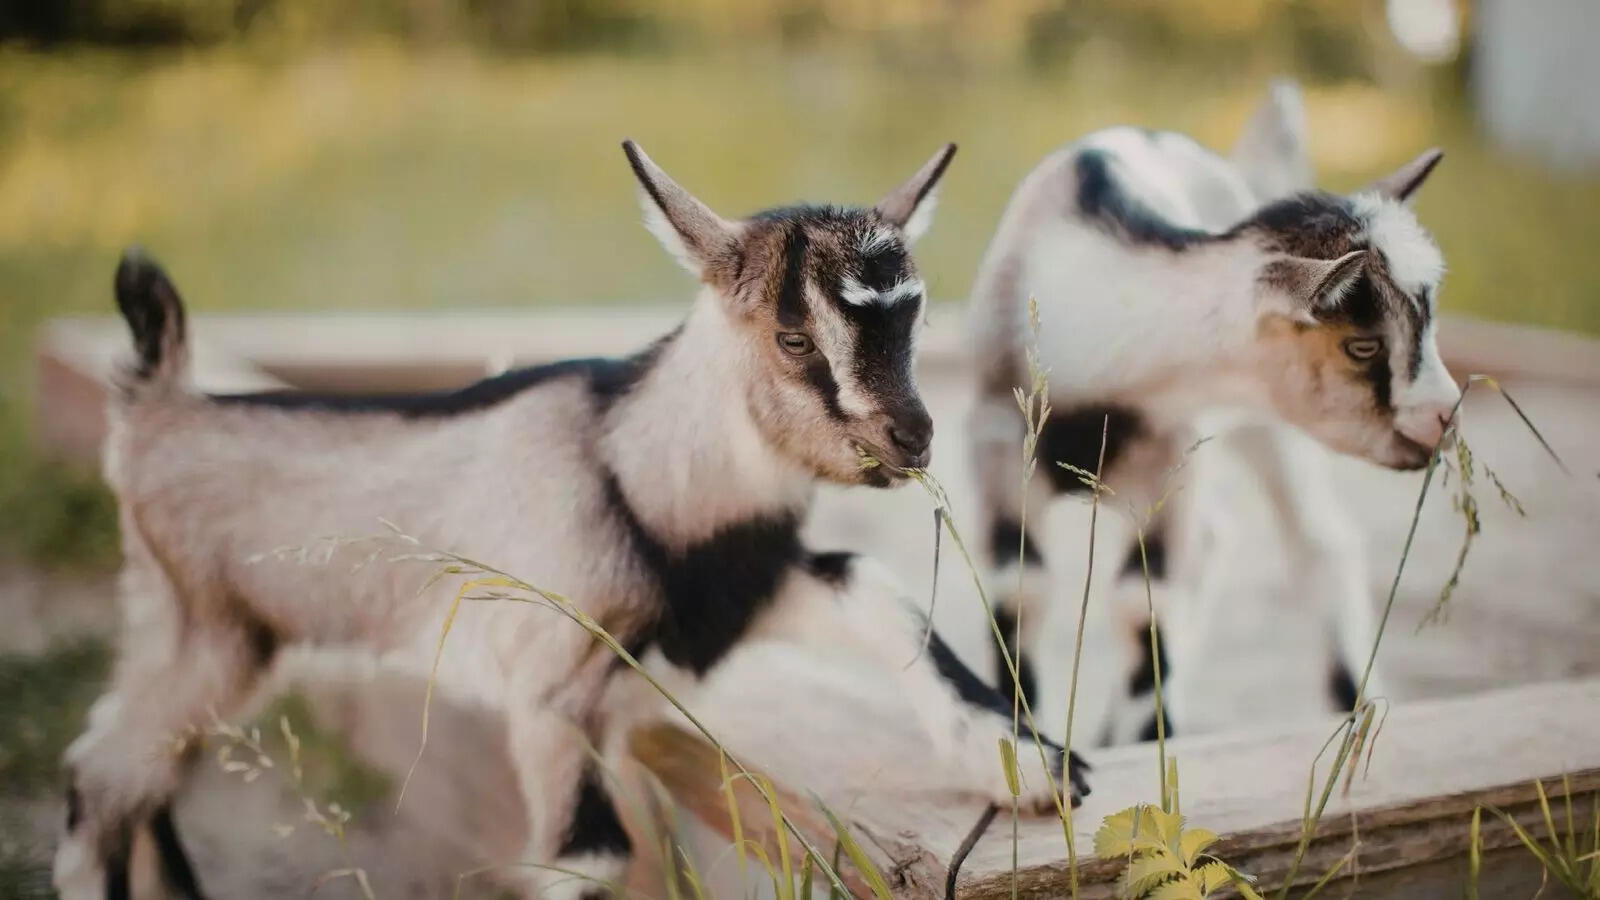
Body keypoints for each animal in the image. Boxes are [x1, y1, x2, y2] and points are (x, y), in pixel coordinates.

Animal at [57, 140, 1086, 900]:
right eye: (795, 337)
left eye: (912, 322)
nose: (912, 439)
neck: (636, 463)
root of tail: (155, 404)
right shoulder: (551, 693)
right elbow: (586, 858)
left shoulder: (738, 600)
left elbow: (876, 587)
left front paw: (1034, 770)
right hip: (210, 638)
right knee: (98, 780)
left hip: (197, 643)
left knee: (115, 776)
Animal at [965, 83, 1459, 746]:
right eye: (1363, 346)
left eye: (1428, 320)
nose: (1445, 414)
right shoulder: (994, 448)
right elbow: (1022, 590)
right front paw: (1028, 738)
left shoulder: (1172, 462)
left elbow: (1142, 603)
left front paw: (1141, 744)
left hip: (1266, 429)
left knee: (1316, 544)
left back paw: (1355, 707)